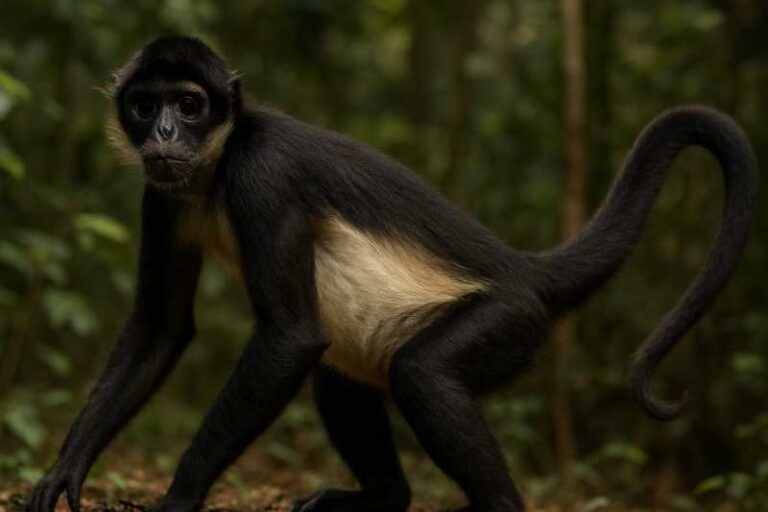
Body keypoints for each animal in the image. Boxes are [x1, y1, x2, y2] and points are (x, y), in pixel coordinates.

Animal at [26, 36, 758, 512]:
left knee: (423, 375)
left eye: (189, 104)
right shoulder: (163, 195)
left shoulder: (264, 174)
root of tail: (520, 268)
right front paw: (66, 470)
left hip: (510, 319)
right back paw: (383, 499)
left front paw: (178, 499)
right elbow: (163, 325)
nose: (165, 135)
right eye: (145, 106)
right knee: (339, 378)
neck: (217, 168)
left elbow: (289, 338)